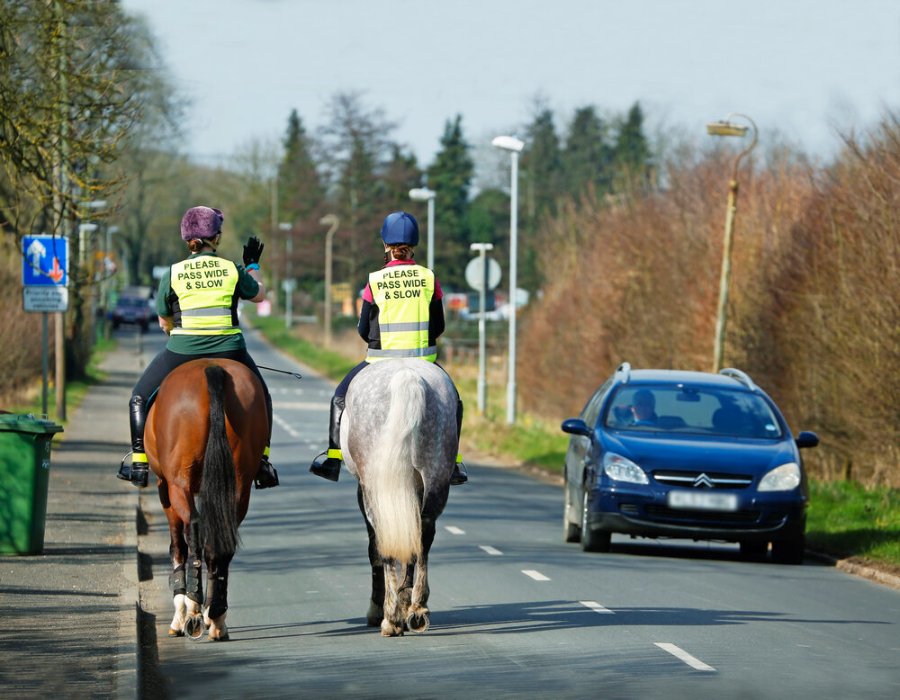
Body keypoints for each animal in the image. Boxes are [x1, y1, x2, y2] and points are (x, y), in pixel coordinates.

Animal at [144, 360, 268, 640]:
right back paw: (217, 616)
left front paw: (180, 614)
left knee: (194, 530)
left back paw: (193, 608)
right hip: (239, 484)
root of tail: (212, 368)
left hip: (178, 484)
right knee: (221, 542)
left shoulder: (165, 489)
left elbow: (177, 547)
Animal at [342, 358, 460, 636]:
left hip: (376, 487)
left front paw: (382, 609)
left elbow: (375, 548)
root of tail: (407, 376)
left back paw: (391, 617)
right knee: (423, 535)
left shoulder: (365, 488)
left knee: (384, 541)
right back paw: (416, 607)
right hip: (435, 475)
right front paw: (406, 601)